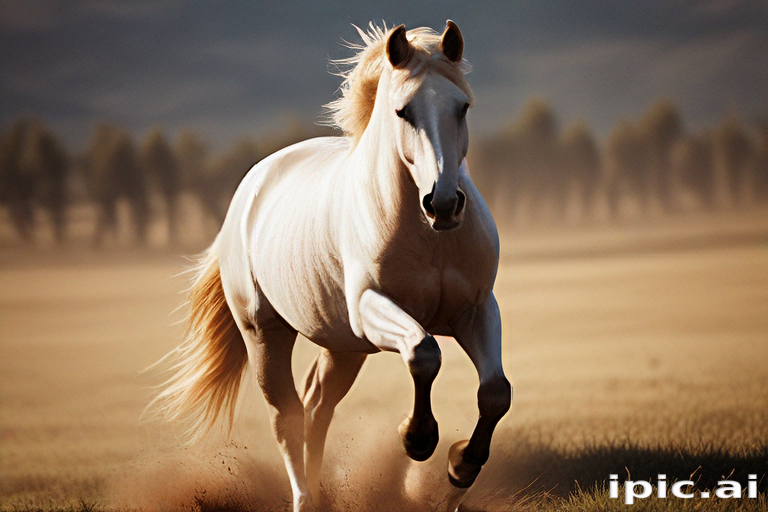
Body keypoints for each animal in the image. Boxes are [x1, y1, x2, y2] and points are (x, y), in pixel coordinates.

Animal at [150, 21, 511, 511]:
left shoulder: (475, 310)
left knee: (316, 407)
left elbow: (495, 393)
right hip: (266, 334)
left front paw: (461, 466)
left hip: (343, 348)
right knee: (287, 417)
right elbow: (424, 353)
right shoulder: (373, 308)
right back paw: (305, 497)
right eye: (403, 111)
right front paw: (417, 438)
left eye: (463, 107)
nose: (443, 204)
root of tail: (248, 190)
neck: (427, 235)